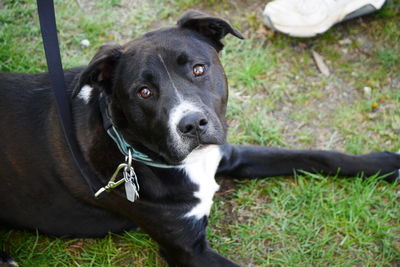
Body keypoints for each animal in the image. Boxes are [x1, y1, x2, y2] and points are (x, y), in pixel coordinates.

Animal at [0, 11, 400, 267]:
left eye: (198, 69)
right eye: (144, 92)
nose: (192, 124)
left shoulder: (229, 153)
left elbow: (318, 156)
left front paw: (386, 163)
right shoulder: (189, 250)